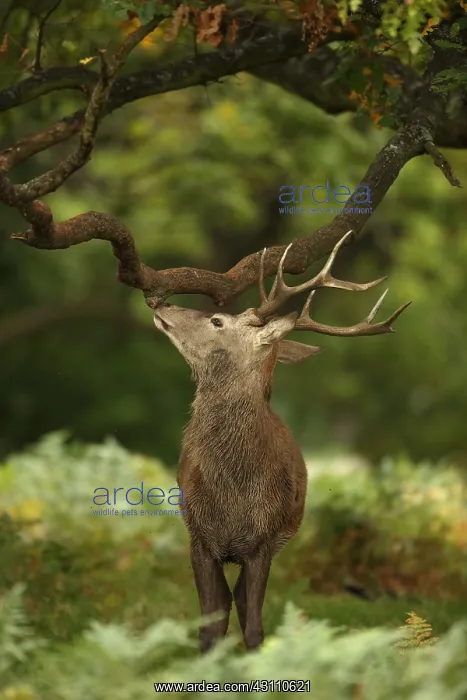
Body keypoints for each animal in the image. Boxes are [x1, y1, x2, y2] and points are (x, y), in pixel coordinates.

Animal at [153, 231, 410, 653]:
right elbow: (209, 626)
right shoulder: (199, 536)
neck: (234, 488)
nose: (163, 303)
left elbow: (254, 627)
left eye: (217, 320)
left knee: (241, 601)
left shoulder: (262, 542)